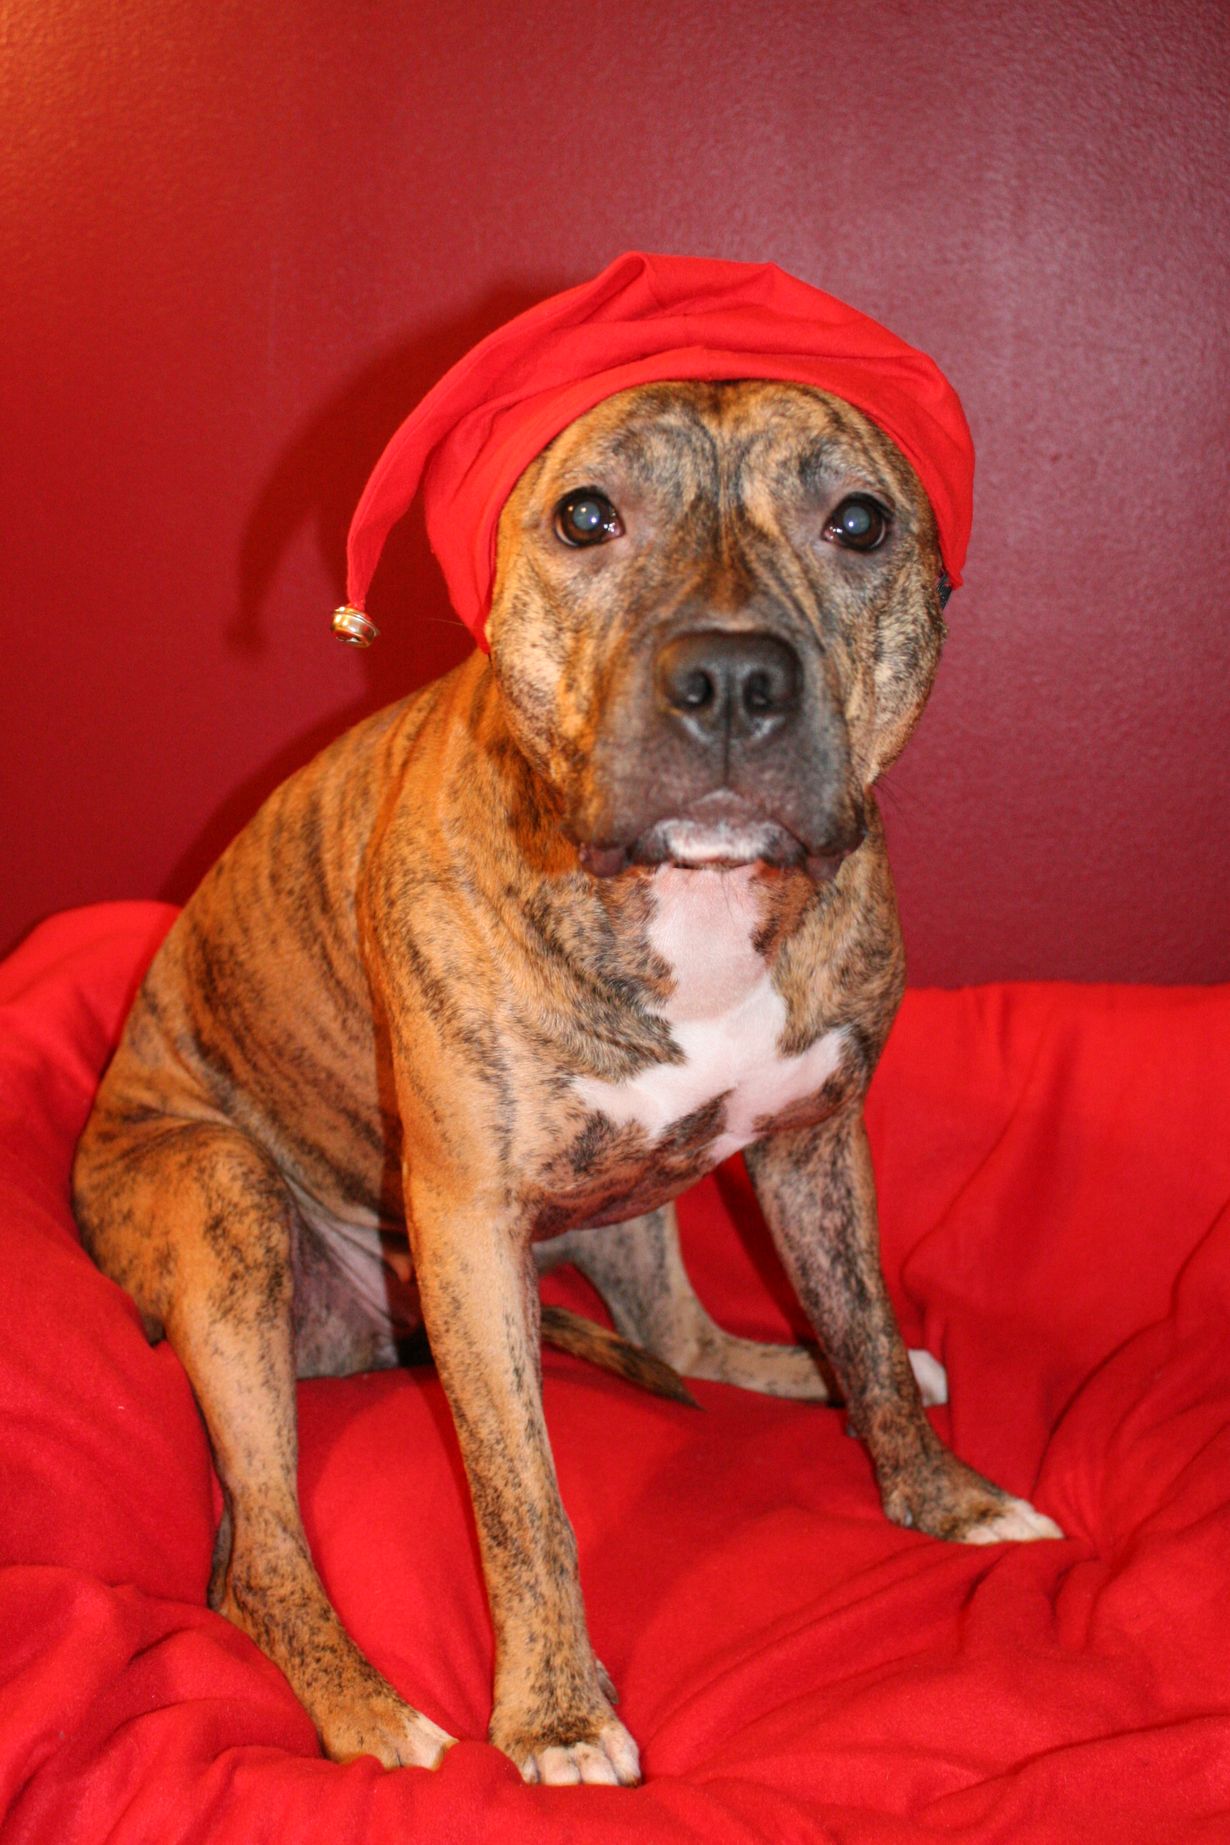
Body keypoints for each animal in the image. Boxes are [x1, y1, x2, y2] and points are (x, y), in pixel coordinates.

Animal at [73, 373, 1062, 1789]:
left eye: (860, 521)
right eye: (587, 515)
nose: (731, 679)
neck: (696, 898)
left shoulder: (818, 1140)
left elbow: (865, 1328)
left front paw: (946, 1497)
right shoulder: (469, 1227)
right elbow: (521, 1496)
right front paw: (554, 1715)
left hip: (628, 1206)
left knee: (687, 1337)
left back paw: (790, 1372)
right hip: (224, 1204)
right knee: (256, 1550)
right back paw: (373, 1715)